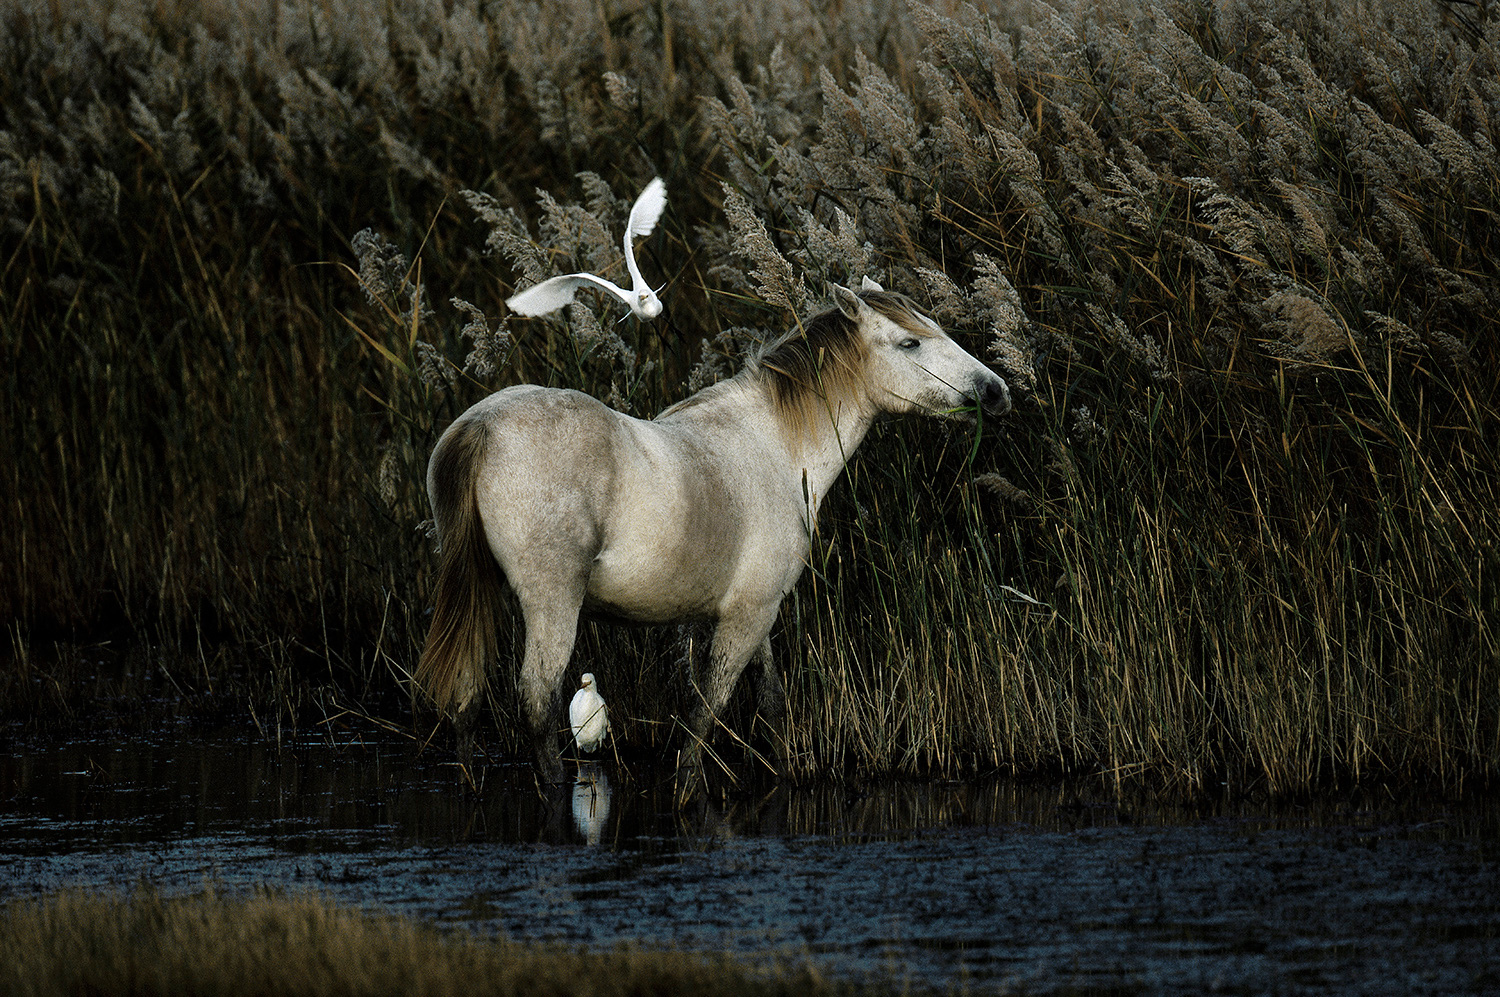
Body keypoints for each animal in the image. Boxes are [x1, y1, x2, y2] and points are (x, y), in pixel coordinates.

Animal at [414, 283, 1010, 791]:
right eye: (910, 342)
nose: (996, 391)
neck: (777, 447)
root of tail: (482, 425)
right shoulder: (748, 616)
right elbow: (707, 711)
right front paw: (689, 790)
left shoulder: (752, 613)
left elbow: (769, 700)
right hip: (551, 602)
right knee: (538, 703)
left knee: (465, 698)